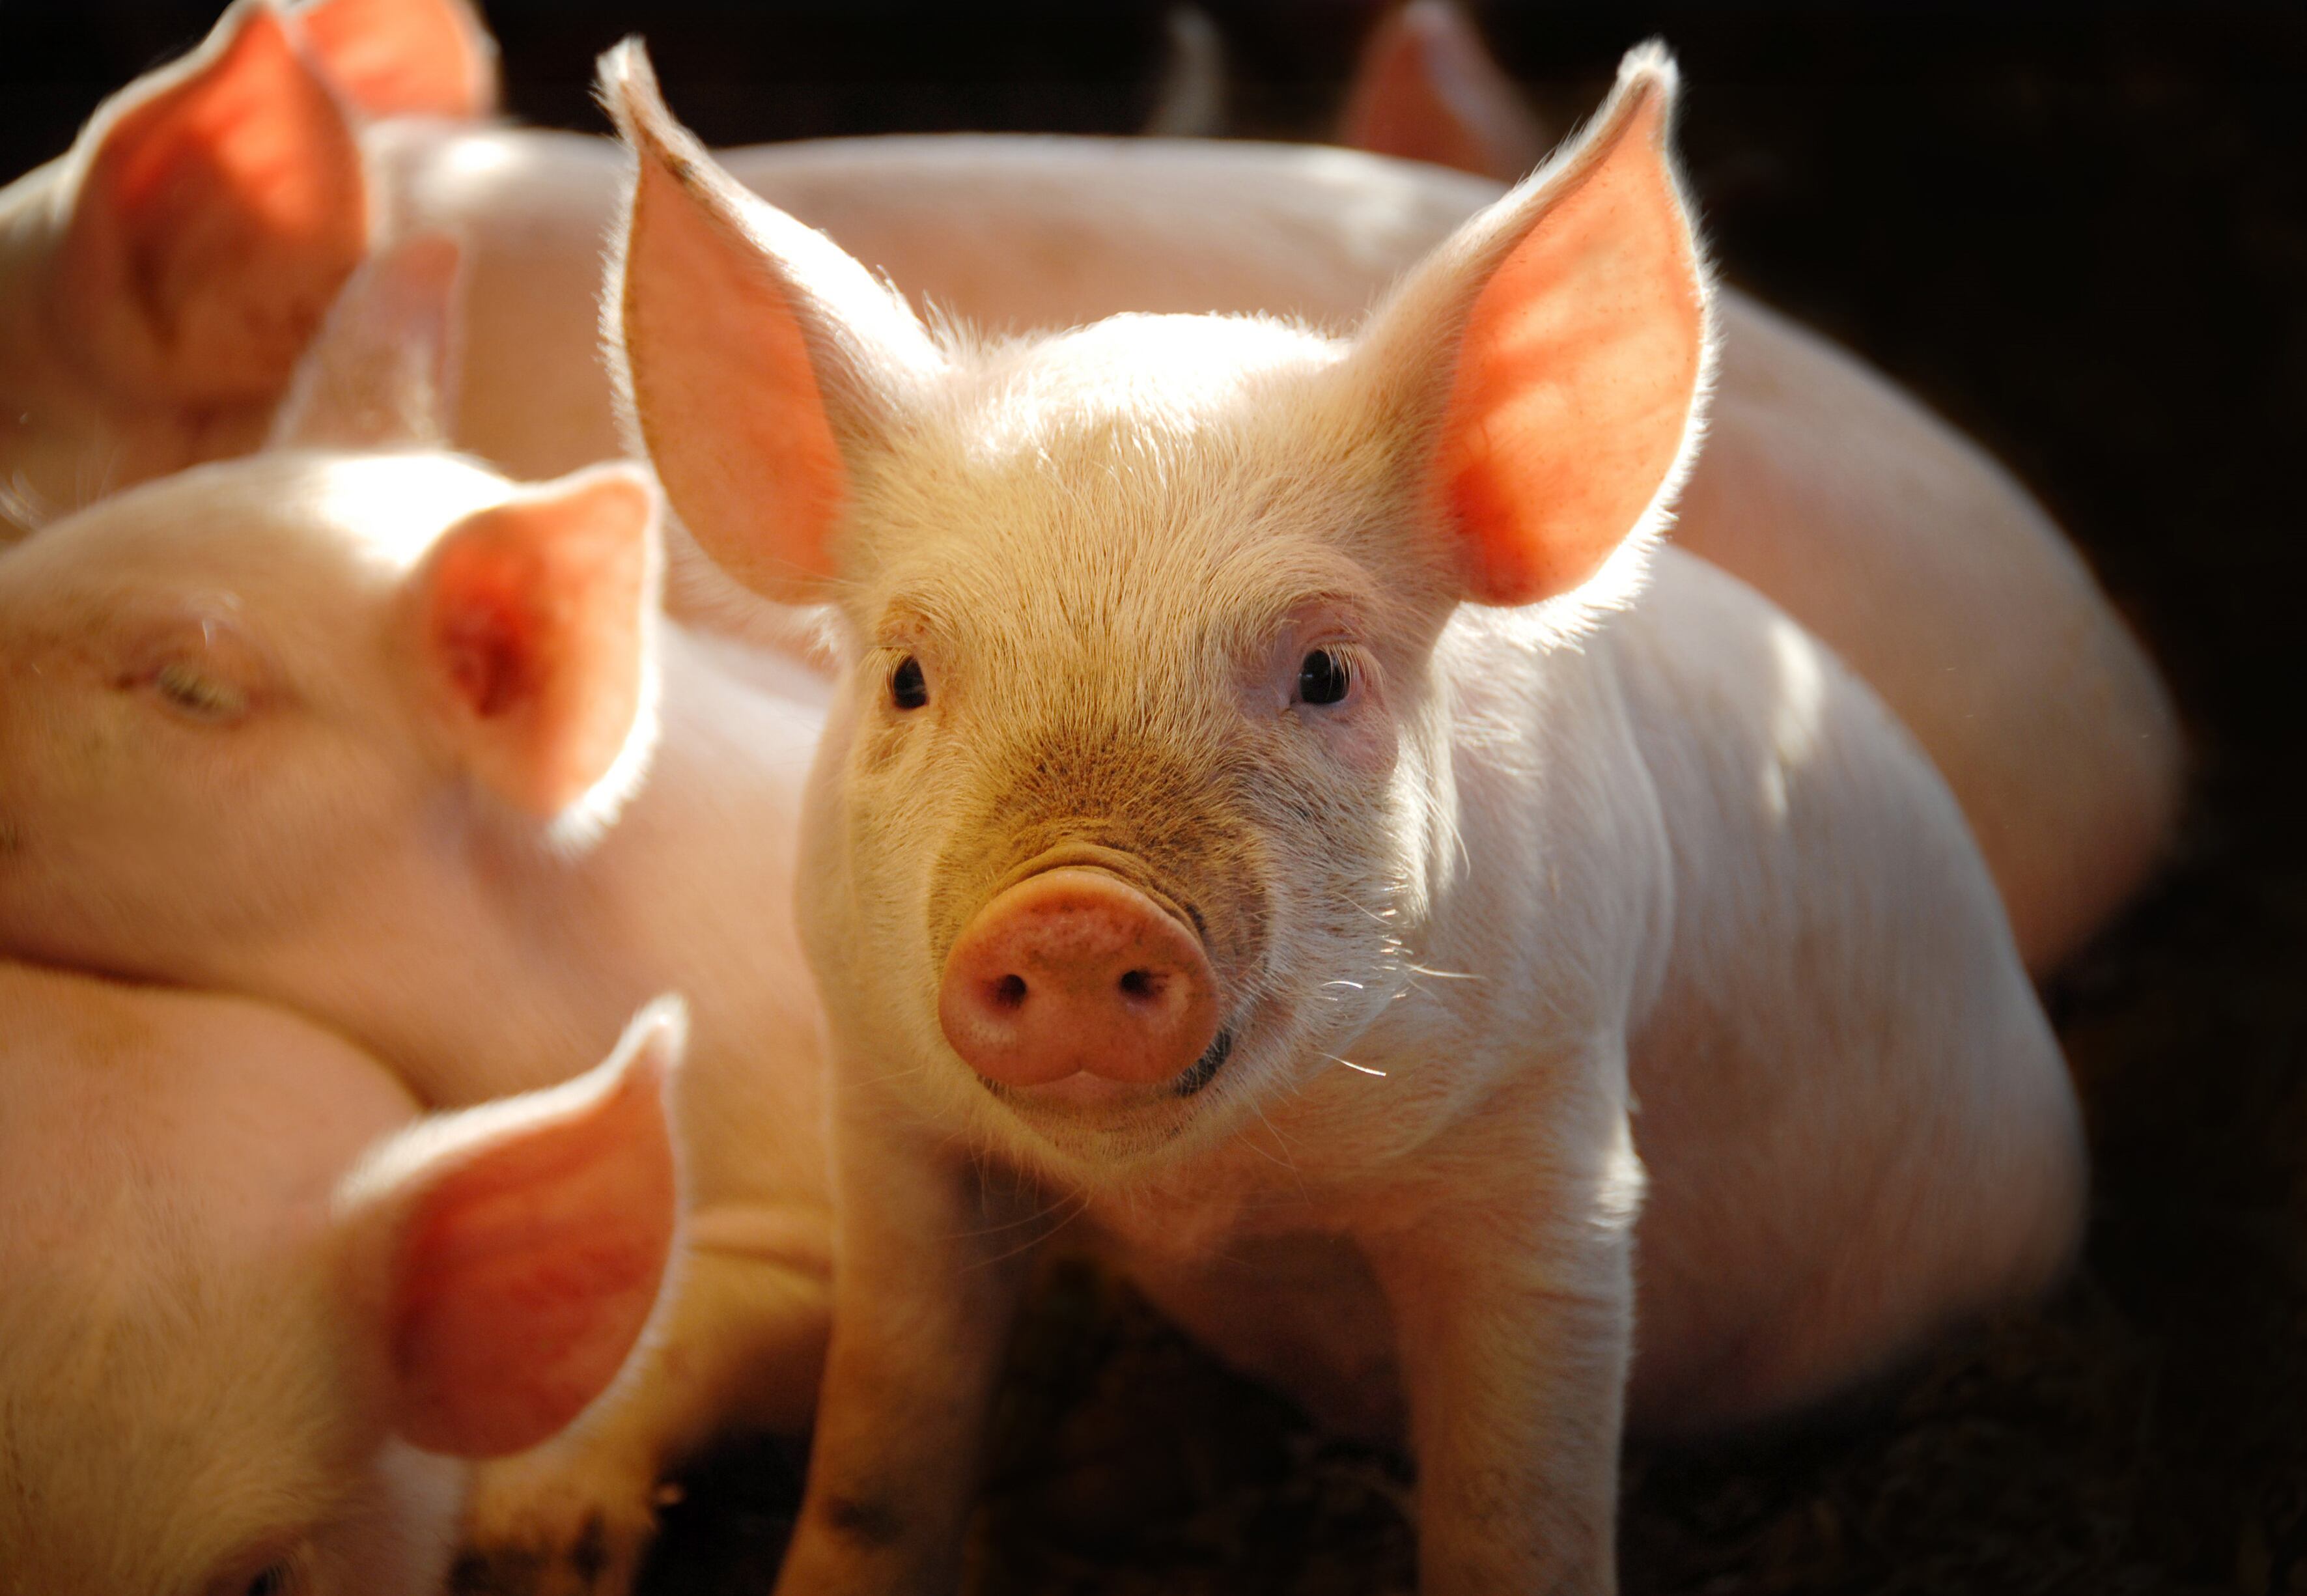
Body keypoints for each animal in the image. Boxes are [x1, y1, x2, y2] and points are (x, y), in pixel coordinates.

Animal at [605, 39, 2089, 1594]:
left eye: (1322, 670)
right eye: (906, 675)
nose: (1073, 910)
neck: (1213, 1198)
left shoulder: (1554, 1153)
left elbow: (1517, 1506)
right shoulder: (889, 1122)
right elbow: (881, 1452)